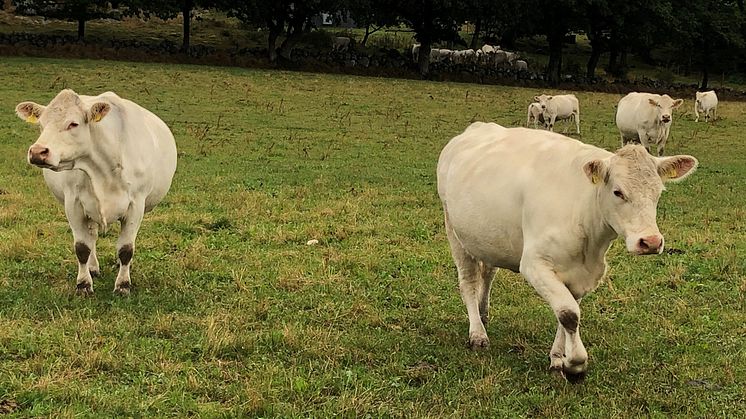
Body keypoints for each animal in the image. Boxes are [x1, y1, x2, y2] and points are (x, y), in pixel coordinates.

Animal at [15, 88, 178, 296]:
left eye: (73, 123)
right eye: (42, 125)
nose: (37, 152)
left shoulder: (136, 205)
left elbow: (126, 248)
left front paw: (123, 285)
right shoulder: (73, 204)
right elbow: (82, 248)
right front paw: (84, 284)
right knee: (91, 236)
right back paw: (92, 268)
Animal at [436, 120, 696, 378]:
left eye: (658, 192)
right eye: (618, 192)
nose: (650, 241)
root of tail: (476, 127)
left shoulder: (581, 273)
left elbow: (568, 313)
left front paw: (558, 358)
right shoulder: (535, 265)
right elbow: (569, 314)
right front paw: (575, 364)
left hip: (488, 237)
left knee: (488, 273)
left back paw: (483, 313)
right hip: (455, 232)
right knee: (468, 282)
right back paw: (477, 333)